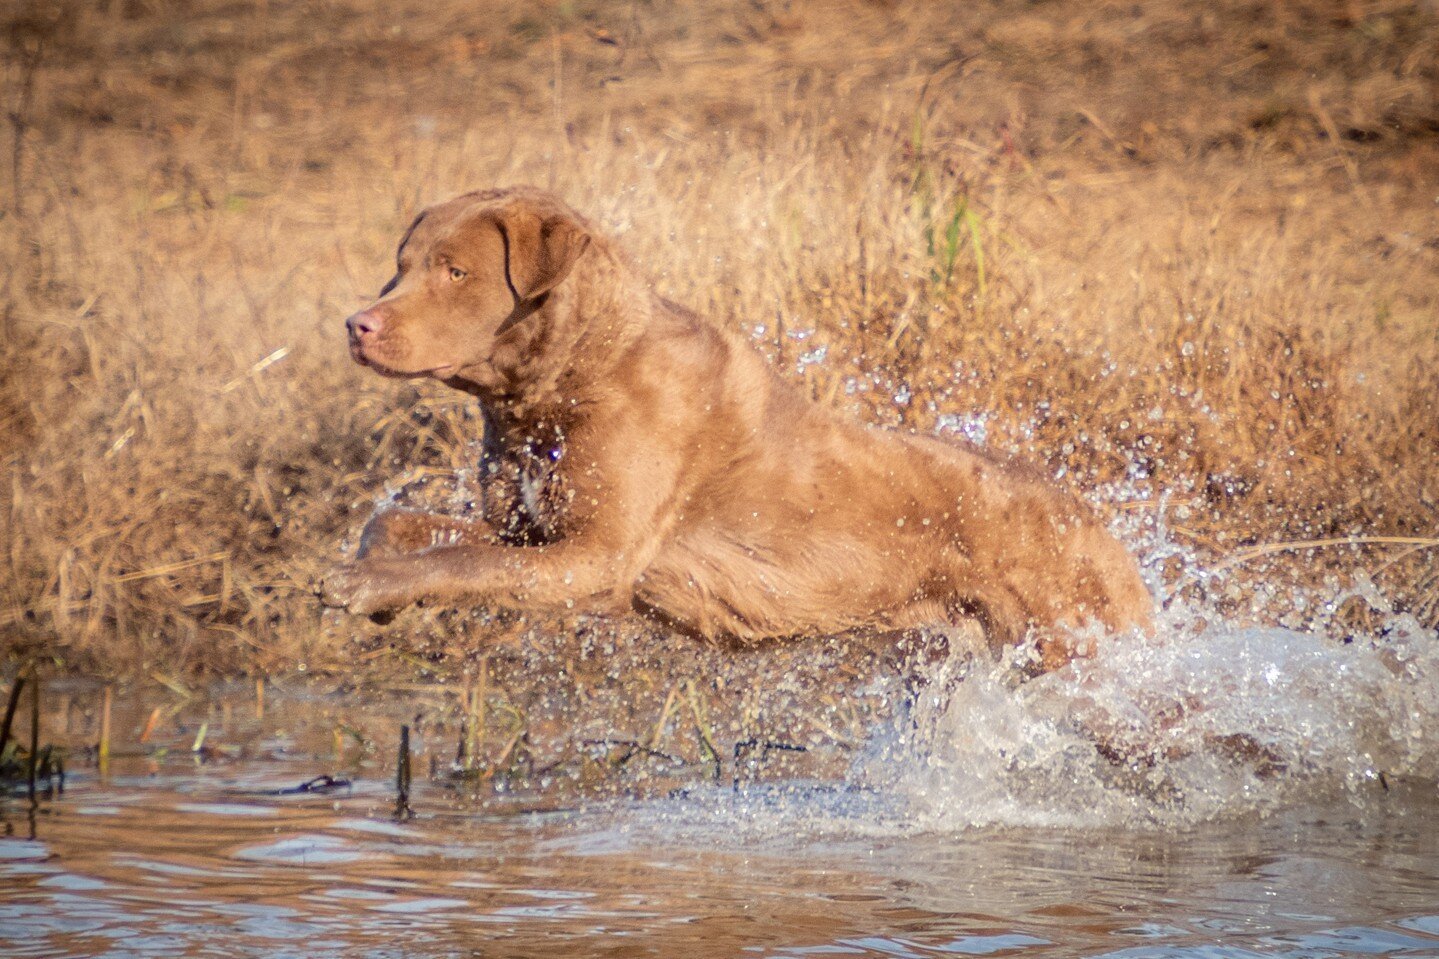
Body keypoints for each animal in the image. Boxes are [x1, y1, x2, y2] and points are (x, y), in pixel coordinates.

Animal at [320, 184, 1151, 665]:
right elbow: (408, 524)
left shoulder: (593, 555)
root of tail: (1096, 521)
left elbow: (462, 560)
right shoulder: (528, 529)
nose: (357, 323)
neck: (566, 380)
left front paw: (361, 587)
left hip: (1075, 638)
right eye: (400, 266)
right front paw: (375, 580)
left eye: (454, 271)